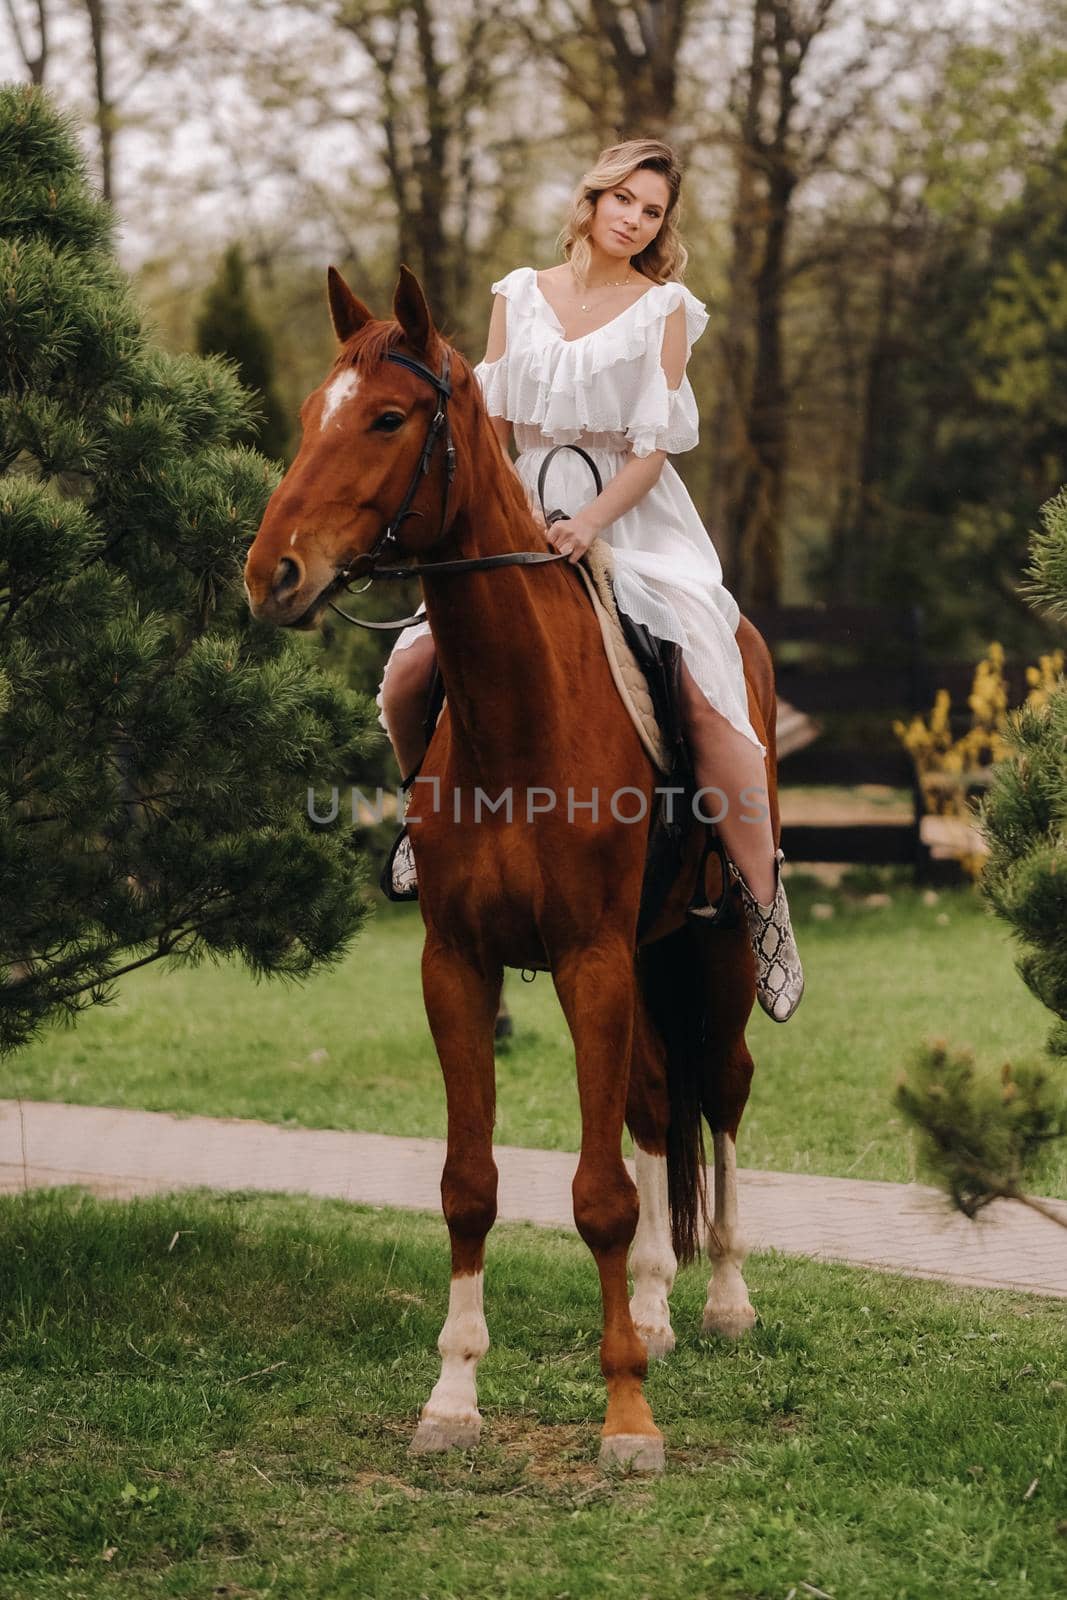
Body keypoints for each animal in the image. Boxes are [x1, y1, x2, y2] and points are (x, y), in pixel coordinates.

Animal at [246, 265, 780, 1472]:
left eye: (388, 418)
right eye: (309, 413)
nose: (271, 574)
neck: (518, 716)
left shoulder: (589, 960)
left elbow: (597, 1197)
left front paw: (626, 1417)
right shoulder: (459, 965)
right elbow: (470, 1185)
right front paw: (452, 1397)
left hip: (715, 948)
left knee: (720, 1091)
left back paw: (725, 1299)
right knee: (653, 1105)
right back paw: (659, 1306)